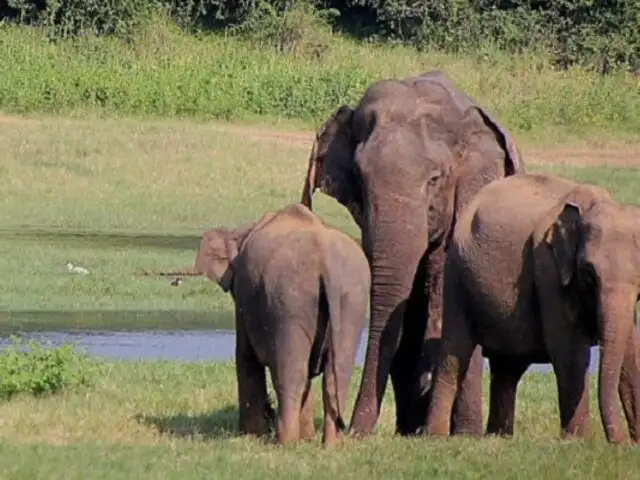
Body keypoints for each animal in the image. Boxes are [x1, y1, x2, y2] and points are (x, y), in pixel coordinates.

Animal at [200, 203, 370, 446]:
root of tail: (325, 261)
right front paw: (306, 438)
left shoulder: (243, 295)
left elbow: (245, 356)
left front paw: (252, 435)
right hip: (352, 299)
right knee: (336, 374)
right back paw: (330, 445)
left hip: (289, 300)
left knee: (291, 372)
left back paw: (285, 442)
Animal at [424, 172, 640, 442]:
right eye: (589, 273)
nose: (619, 442)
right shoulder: (548, 269)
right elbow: (569, 350)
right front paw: (578, 441)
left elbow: (631, 351)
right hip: (456, 276)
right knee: (455, 354)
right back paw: (436, 437)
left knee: (508, 367)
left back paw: (499, 437)